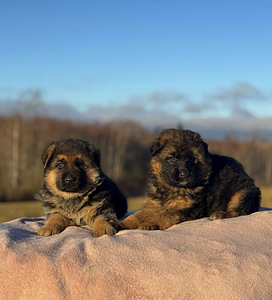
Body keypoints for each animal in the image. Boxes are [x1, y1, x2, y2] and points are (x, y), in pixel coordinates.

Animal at [113, 128, 260, 230]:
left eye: (194, 159)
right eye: (172, 158)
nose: (184, 173)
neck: (171, 188)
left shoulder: (187, 210)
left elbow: (163, 216)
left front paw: (150, 224)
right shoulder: (152, 205)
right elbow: (136, 215)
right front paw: (120, 223)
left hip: (242, 193)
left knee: (239, 211)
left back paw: (219, 214)